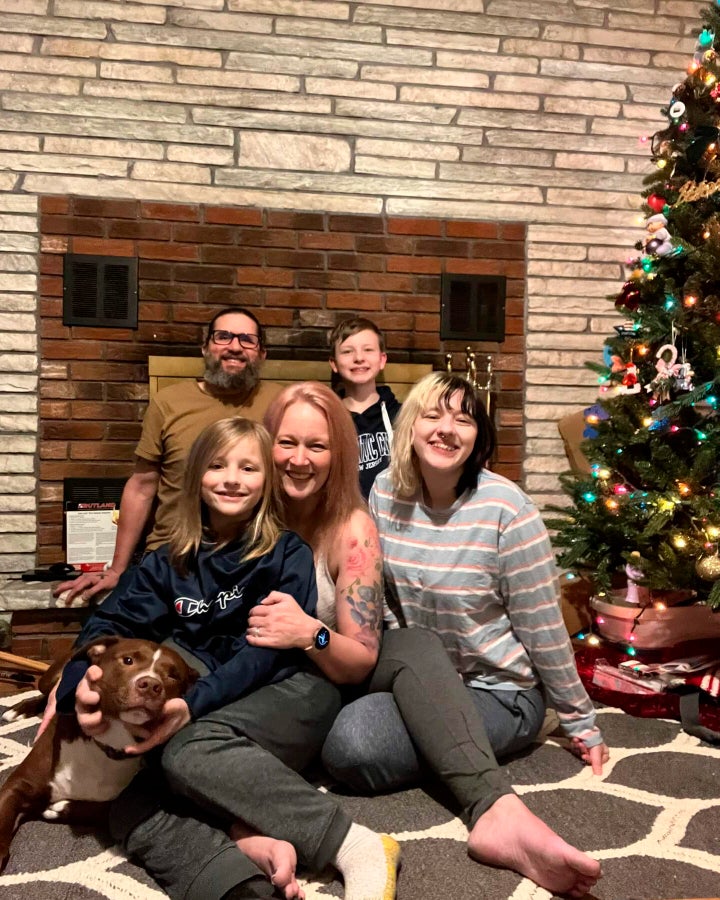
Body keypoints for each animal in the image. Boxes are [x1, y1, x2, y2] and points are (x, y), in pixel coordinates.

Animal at [0, 632, 198, 872]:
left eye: (173, 676)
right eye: (128, 660)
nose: (151, 684)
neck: (107, 745)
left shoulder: (125, 798)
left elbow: (103, 809)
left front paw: (60, 808)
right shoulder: (19, 784)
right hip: (52, 676)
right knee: (48, 695)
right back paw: (19, 710)